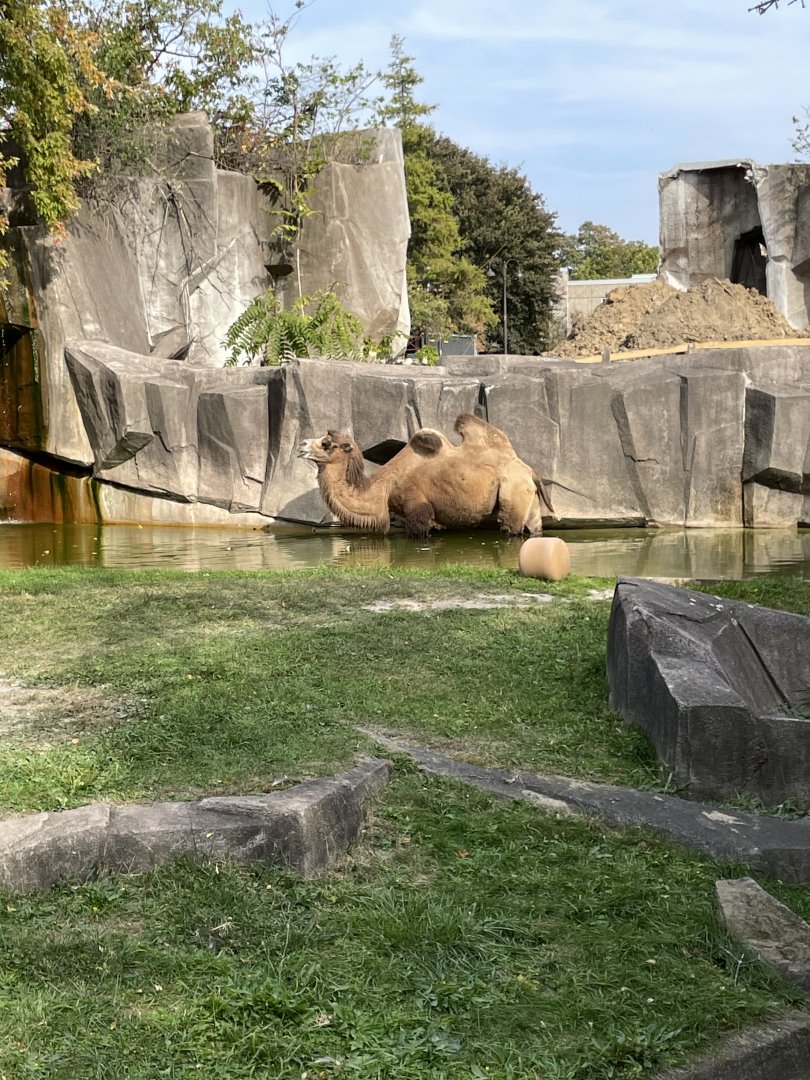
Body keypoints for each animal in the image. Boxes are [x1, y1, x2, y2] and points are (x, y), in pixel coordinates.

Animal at [298, 412, 554, 539]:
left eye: (326, 443)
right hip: (529, 499)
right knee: (534, 528)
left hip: (513, 492)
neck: (386, 486)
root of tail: (530, 471)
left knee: (512, 529)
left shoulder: (417, 510)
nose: (301, 445)